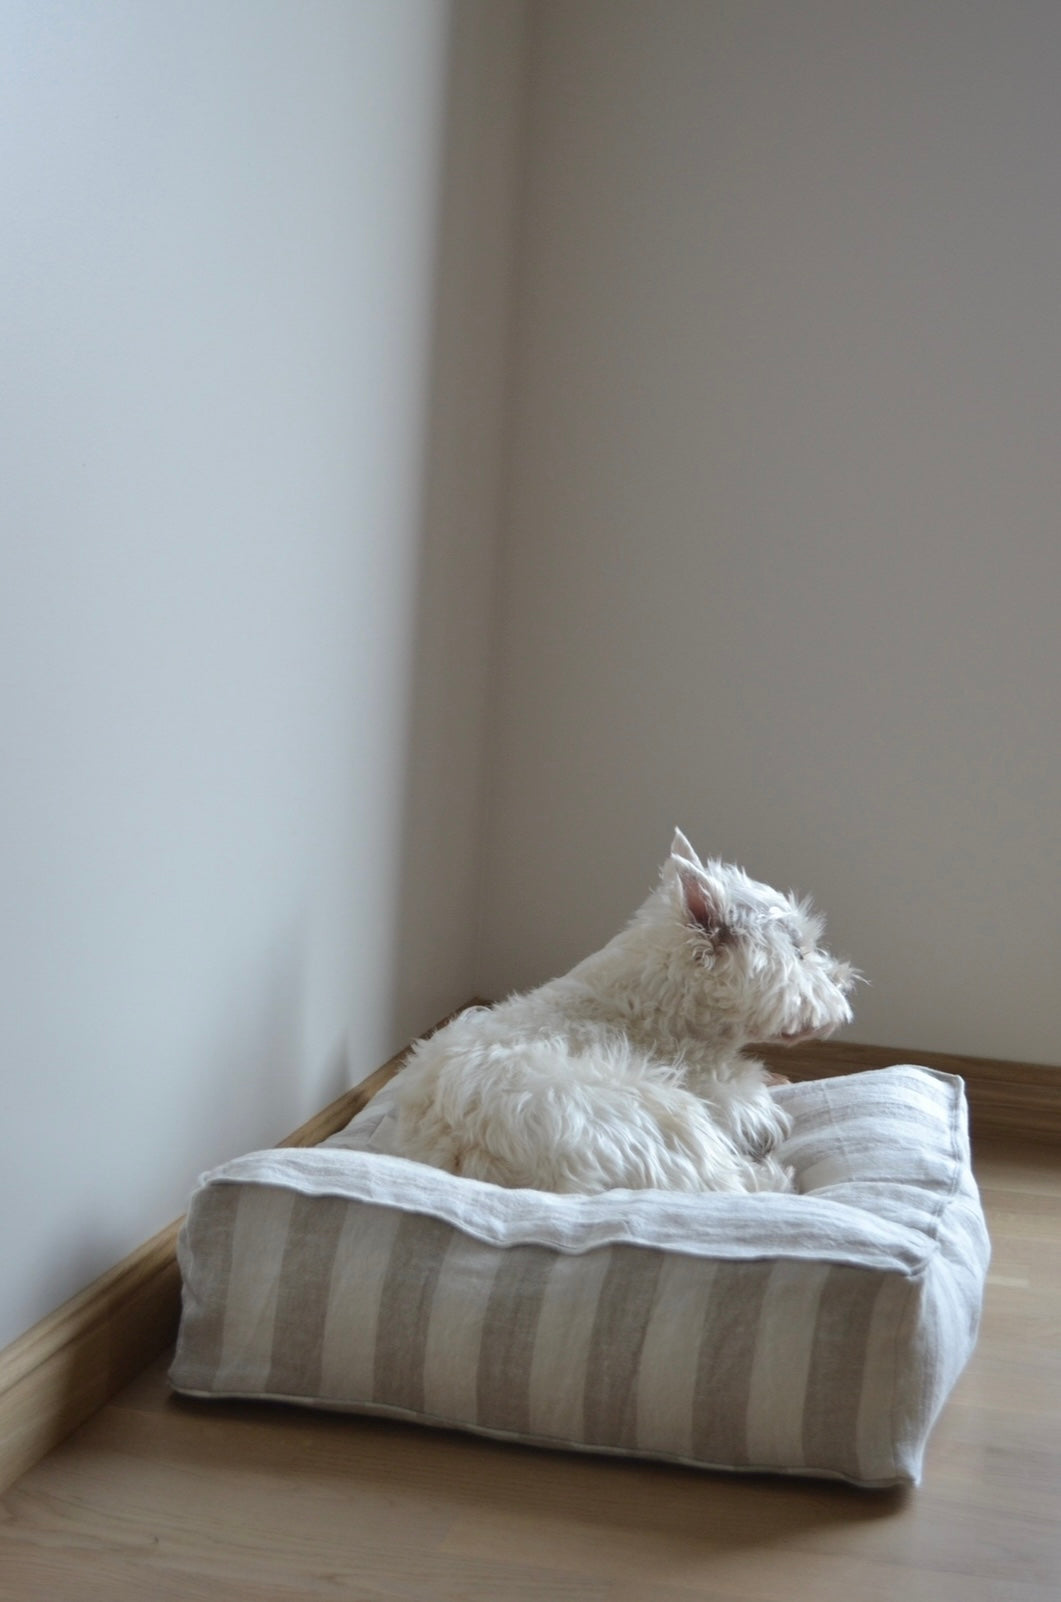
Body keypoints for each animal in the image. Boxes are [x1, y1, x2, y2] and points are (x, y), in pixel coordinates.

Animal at [394, 839, 859, 1191]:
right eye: (798, 951)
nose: (844, 980)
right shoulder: (709, 1083)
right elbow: (750, 1104)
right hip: (661, 1111)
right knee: (730, 1183)